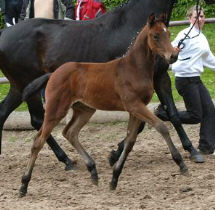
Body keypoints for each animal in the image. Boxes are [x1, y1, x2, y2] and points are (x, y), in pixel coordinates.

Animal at [0, 0, 212, 167]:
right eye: (156, 36)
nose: (173, 55)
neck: (132, 24)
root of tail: (4, 34)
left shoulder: (160, 78)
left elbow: (172, 113)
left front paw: (192, 150)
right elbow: (142, 124)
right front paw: (115, 154)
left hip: (19, 87)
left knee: (7, 112)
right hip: (28, 85)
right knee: (37, 120)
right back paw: (66, 160)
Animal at [20, 13, 188, 197]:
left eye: (168, 33)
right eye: (155, 36)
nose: (173, 56)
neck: (134, 68)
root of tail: (53, 74)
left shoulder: (135, 109)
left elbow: (130, 141)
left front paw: (114, 178)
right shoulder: (135, 105)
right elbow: (161, 127)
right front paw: (181, 163)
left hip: (85, 109)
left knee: (70, 132)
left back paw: (93, 170)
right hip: (55, 110)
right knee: (38, 141)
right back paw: (24, 185)